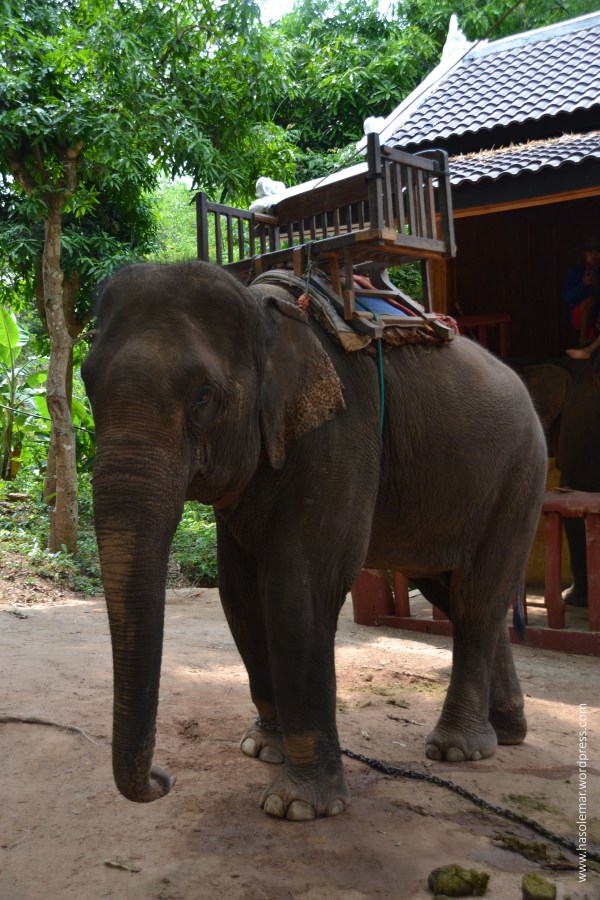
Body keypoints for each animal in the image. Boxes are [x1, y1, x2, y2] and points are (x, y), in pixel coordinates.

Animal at [81, 260, 547, 821]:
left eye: (204, 397)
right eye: (86, 385)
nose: (162, 779)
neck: (261, 310)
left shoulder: (340, 435)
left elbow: (296, 588)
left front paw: (298, 806)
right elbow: (239, 594)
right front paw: (262, 748)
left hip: (519, 478)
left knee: (477, 599)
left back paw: (456, 749)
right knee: (459, 595)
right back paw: (506, 733)